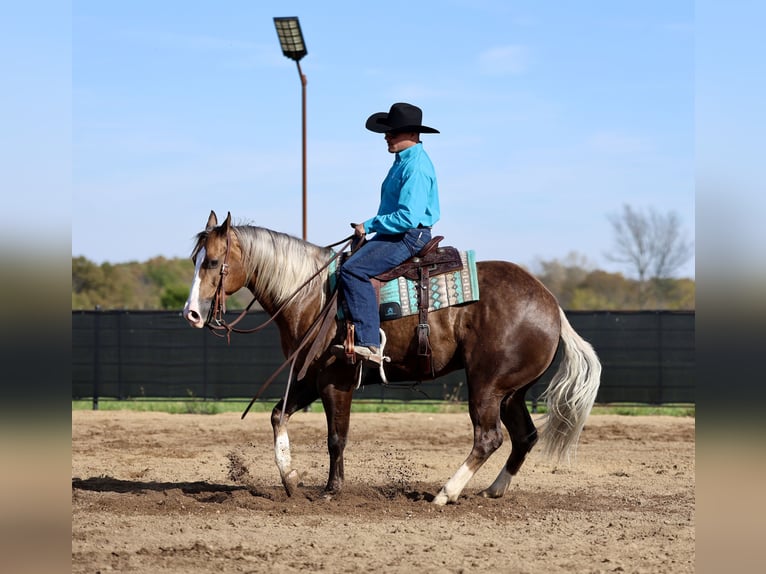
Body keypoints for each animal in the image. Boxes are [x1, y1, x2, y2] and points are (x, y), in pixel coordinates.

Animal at [183, 211, 601, 505]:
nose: (191, 313)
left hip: (487, 385)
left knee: (489, 437)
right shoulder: (310, 378)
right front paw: (290, 478)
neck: (314, 295)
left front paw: (332, 489)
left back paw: (446, 493)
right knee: (524, 436)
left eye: (212, 262)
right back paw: (493, 490)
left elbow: (336, 437)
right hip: (511, 391)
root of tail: (551, 305)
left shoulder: (336, 380)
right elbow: (277, 415)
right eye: (196, 261)